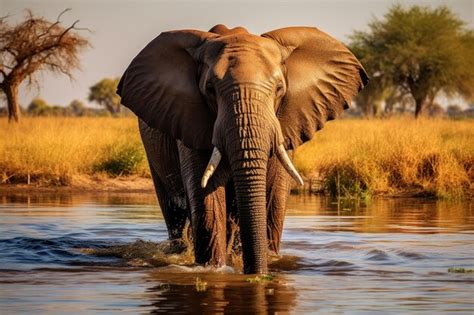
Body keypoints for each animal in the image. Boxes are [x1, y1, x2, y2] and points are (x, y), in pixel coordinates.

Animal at [116, 24, 368, 274]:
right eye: (210, 89)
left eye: (279, 89)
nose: (256, 273)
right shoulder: (190, 122)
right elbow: (208, 199)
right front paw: (215, 269)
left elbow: (272, 197)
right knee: (174, 212)